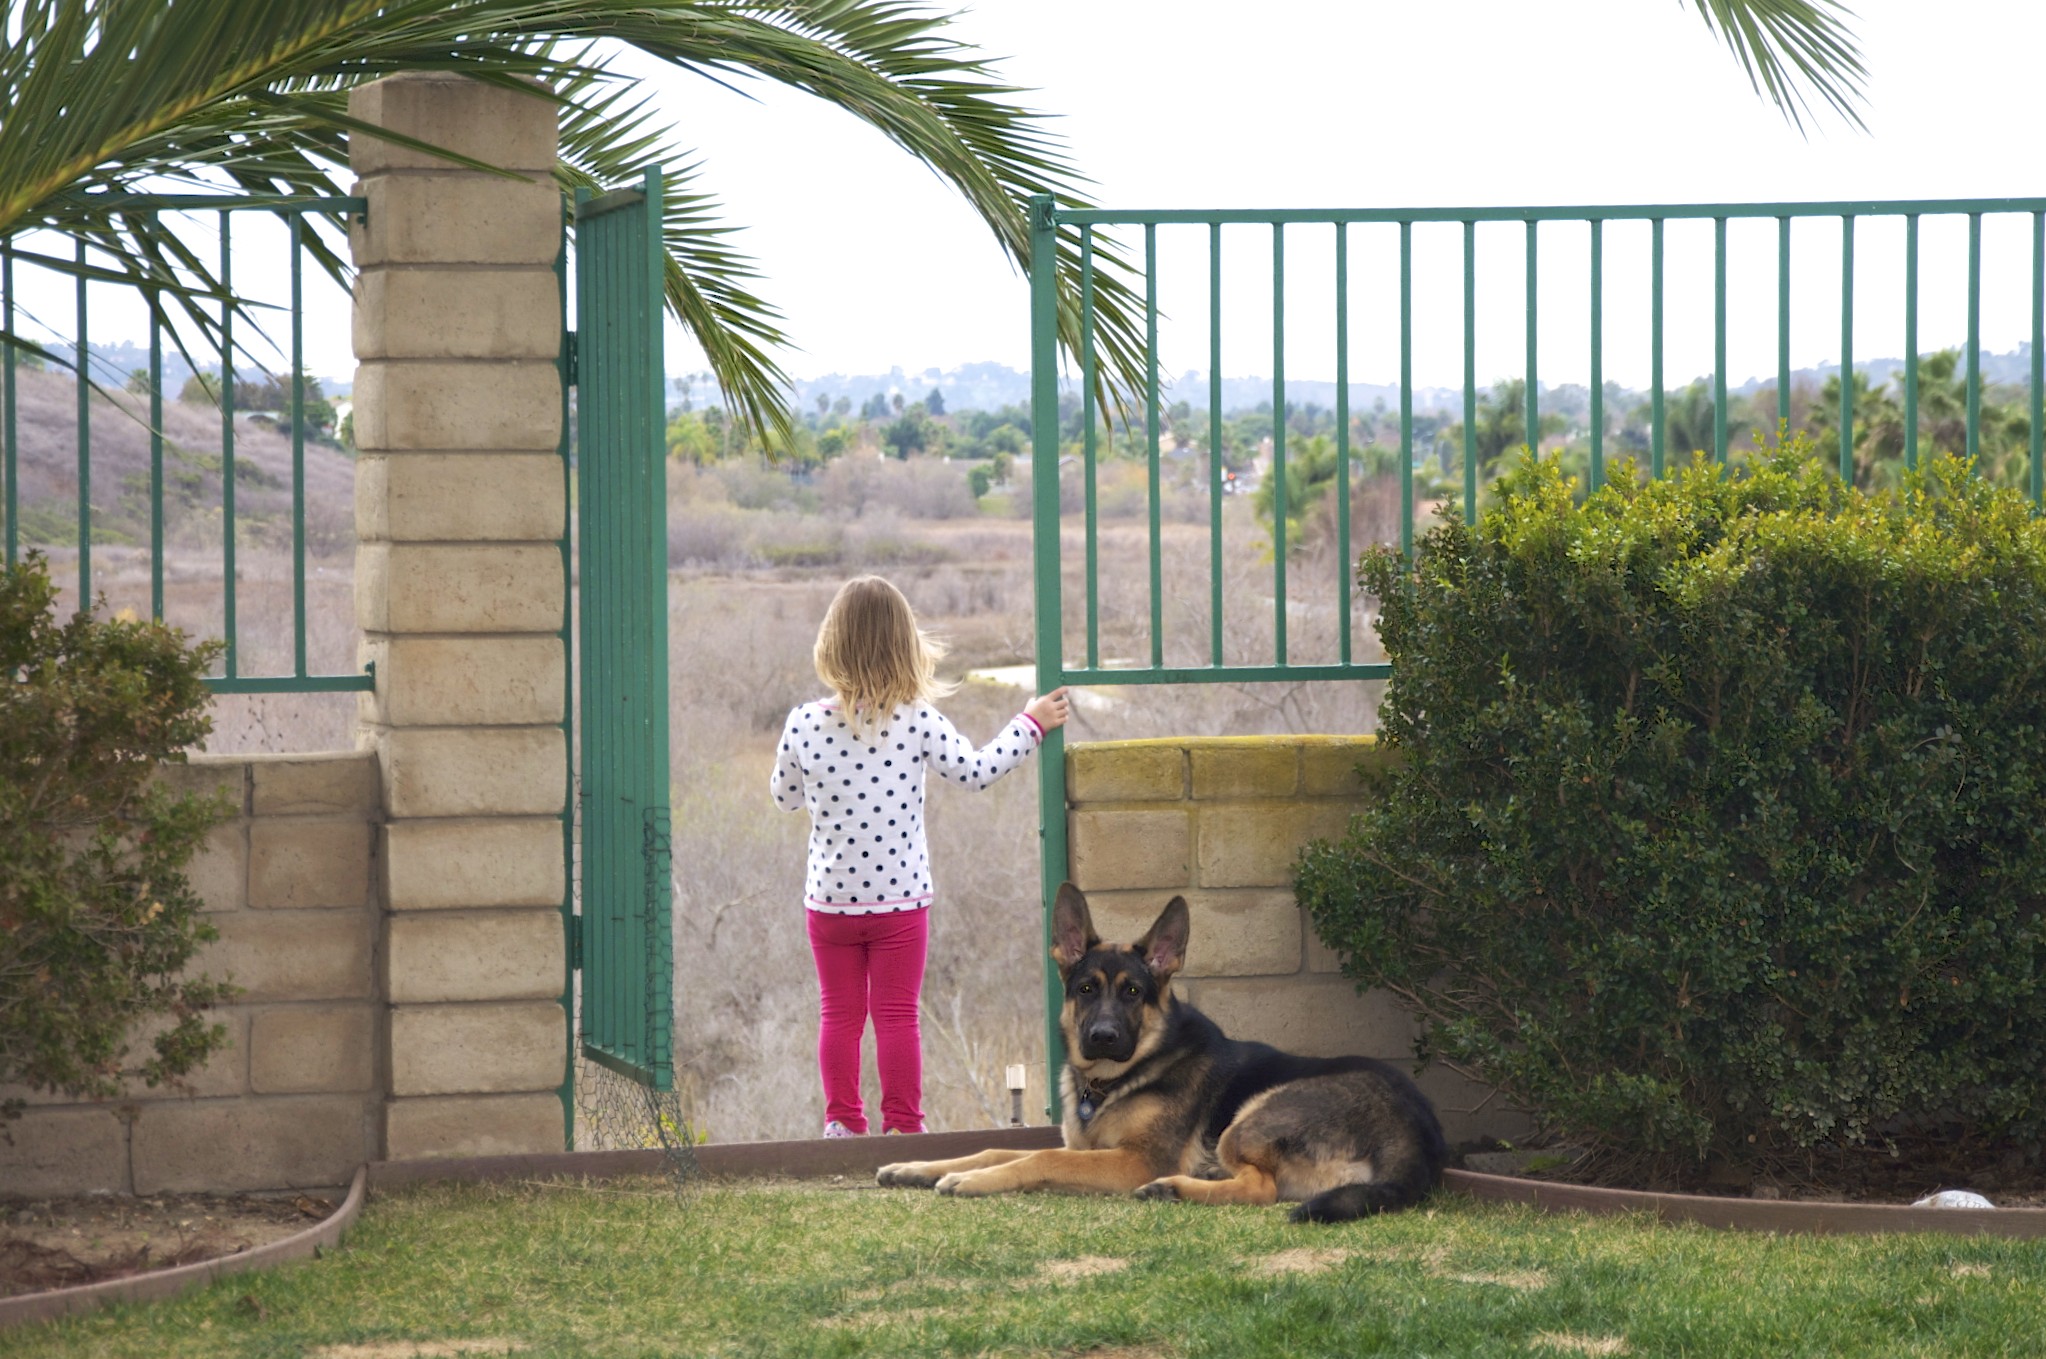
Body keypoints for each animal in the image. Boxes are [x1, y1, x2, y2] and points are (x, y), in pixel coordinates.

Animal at [871, 880, 1448, 1219]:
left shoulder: (1132, 1160)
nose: (1103, 1036)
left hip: (1254, 1114)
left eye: (1132, 992)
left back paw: (1175, 1188)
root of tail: (1420, 1135)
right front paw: (919, 1166)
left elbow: (1039, 1155)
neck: (1115, 1078)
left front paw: (970, 1180)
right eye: (1086, 989)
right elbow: (997, 1148)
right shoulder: (1087, 1147)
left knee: (1261, 1189)